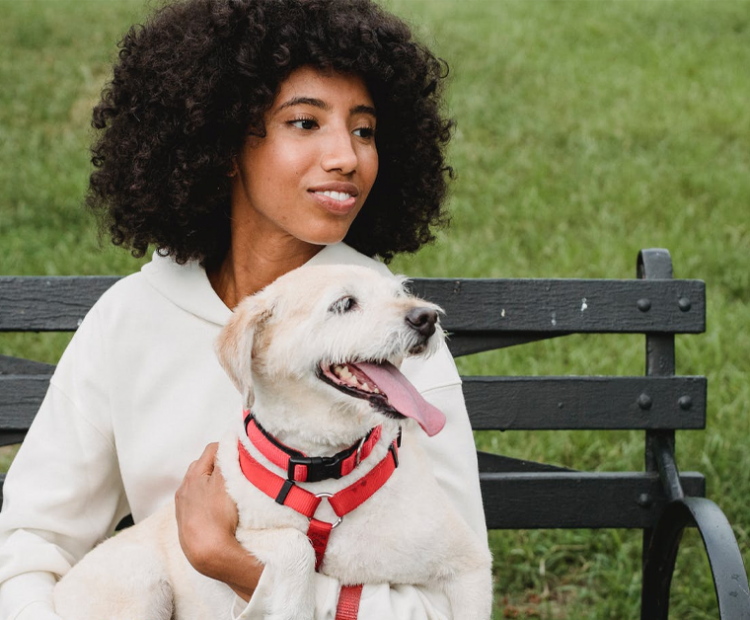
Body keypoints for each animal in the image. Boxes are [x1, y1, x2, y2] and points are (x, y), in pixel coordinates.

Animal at [55, 266, 496, 620]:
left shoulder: (470, 565)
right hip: (142, 582)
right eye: (345, 303)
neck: (324, 470)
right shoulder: (218, 533)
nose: (427, 317)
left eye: (400, 292)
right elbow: (296, 545)